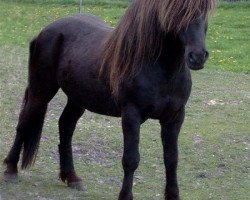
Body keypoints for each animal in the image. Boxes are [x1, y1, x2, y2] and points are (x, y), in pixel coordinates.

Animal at [2, 0, 216, 200]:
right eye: (176, 14)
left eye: (204, 12)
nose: (197, 57)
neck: (158, 67)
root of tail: (46, 30)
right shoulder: (131, 115)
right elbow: (131, 159)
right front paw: (125, 195)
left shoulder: (174, 117)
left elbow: (171, 159)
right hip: (41, 92)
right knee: (24, 123)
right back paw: (11, 170)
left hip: (78, 99)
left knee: (66, 126)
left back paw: (72, 177)